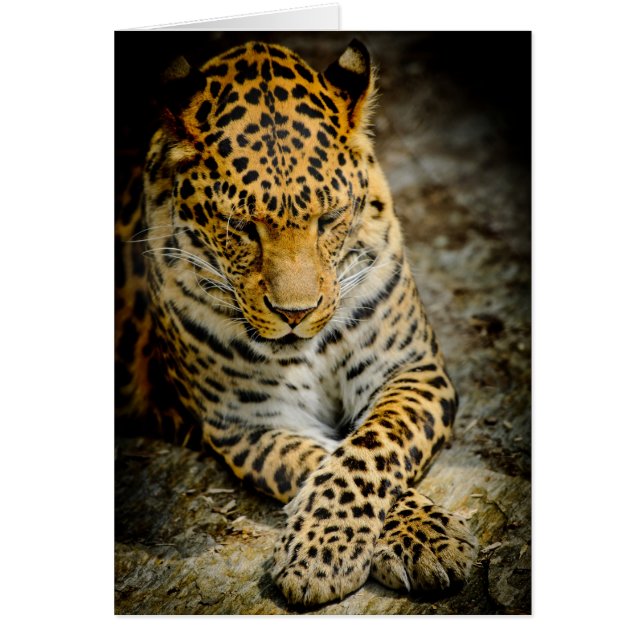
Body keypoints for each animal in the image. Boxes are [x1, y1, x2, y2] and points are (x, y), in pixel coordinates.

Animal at [115, 39, 478, 607]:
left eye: (328, 220)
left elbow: (368, 449)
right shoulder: (250, 423)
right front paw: (336, 550)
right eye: (242, 227)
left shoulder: (411, 370)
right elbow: (322, 460)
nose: (296, 313)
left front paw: (417, 538)